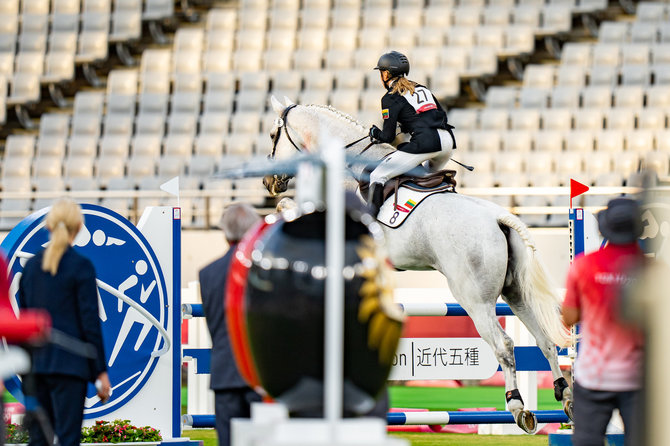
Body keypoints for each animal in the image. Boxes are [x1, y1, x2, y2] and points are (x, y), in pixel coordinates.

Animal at [266, 96, 576, 432]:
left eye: (272, 136)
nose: (270, 182)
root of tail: (499, 218)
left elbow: (290, 209)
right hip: (515, 294)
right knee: (545, 341)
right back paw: (565, 396)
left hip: (474, 299)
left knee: (504, 345)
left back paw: (518, 406)